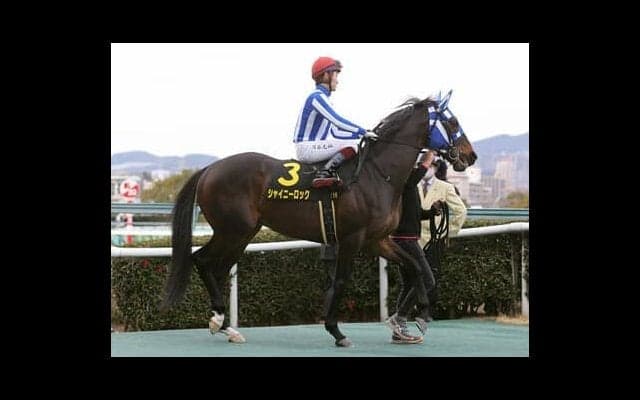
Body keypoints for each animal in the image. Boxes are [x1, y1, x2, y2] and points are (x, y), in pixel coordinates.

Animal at [160, 90, 477, 347]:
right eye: (453, 123)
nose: (470, 155)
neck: (377, 174)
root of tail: (209, 169)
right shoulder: (352, 239)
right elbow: (341, 281)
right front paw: (336, 331)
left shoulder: (378, 240)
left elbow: (415, 267)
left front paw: (420, 316)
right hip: (233, 230)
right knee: (202, 260)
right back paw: (219, 321)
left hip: (242, 234)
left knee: (218, 269)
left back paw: (225, 326)